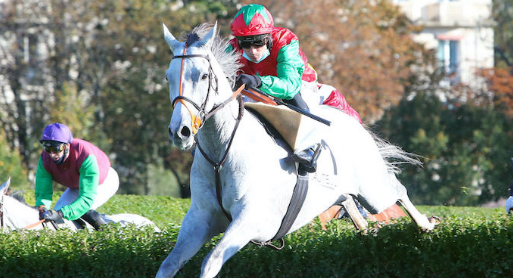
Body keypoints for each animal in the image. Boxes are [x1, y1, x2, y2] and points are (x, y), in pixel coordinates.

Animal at [157, 22, 436, 276]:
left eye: (203, 76)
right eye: (168, 76)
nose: (180, 131)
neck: (221, 153)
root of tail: (349, 119)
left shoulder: (251, 219)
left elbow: (211, 261)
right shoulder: (200, 218)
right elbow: (169, 264)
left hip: (373, 191)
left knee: (398, 191)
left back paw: (427, 226)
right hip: (344, 193)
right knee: (353, 207)